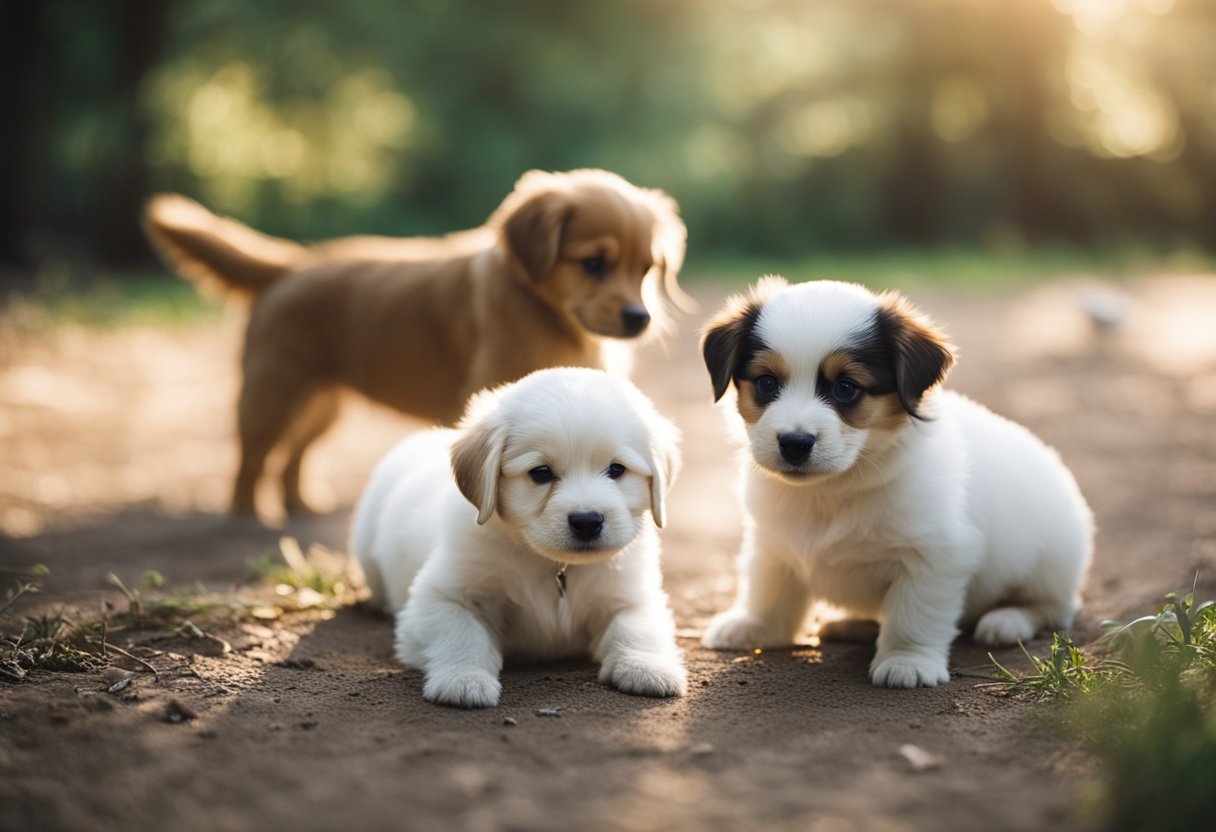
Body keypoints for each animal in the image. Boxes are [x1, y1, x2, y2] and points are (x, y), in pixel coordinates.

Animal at [142, 167, 685, 515]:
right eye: (593, 263)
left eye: (646, 269)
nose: (639, 318)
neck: (543, 310)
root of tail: (292, 266)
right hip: (272, 392)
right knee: (252, 455)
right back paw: (246, 515)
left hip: (321, 404)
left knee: (294, 454)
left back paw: (300, 503)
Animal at [355, 367, 690, 705]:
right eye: (541, 473)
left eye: (617, 469)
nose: (587, 521)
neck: (554, 567)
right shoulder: (439, 595)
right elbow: (461, 632)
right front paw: (463, 679)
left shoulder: (633, 595)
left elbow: (636, 627)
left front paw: (646, 666)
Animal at [700, 279, 1099, 690]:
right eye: (767, 383)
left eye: (845, 387)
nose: (795, 444)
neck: (832, 489)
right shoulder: (773, 544)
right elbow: (768, 590)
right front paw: (755, 626)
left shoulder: (935, 555)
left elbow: (913, 615)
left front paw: (907, 661)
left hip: (1053, 563)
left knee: (1054, 608)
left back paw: (1008, 621)